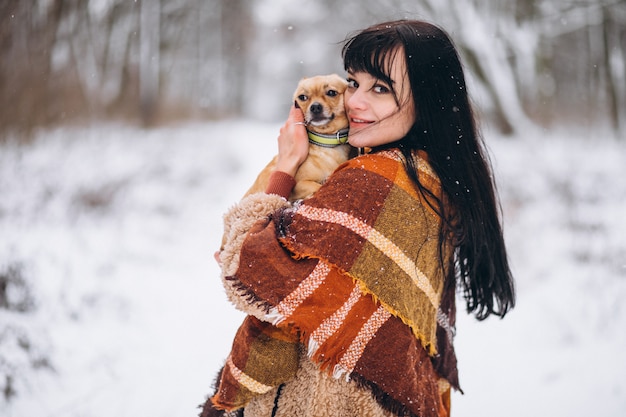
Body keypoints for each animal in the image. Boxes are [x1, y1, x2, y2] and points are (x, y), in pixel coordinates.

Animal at [243, 74, 348, 202]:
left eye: (331, 92)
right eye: (302, 97)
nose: (315, 107)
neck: (327, 143)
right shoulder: (298, 185)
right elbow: (317, 186)